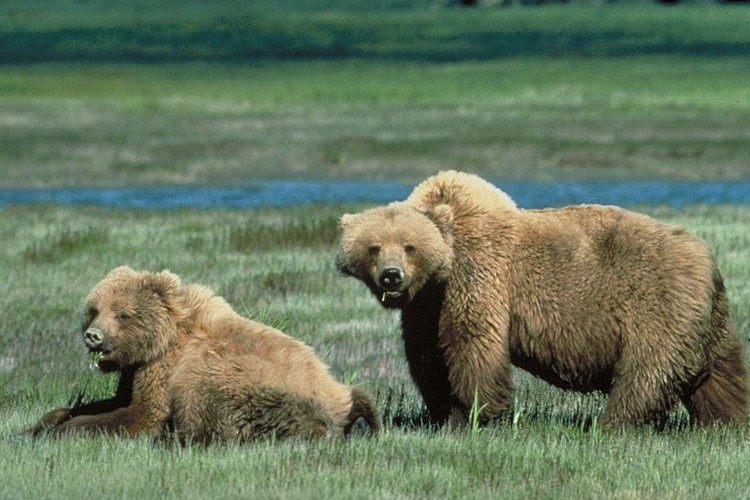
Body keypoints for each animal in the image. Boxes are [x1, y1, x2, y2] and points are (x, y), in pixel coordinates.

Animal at [27, 266, 382, 442]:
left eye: (122, 313)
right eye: (94, 309)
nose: (93, 335)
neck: (163, 339)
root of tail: (343, 396)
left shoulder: (166, 368)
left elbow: (142, 413)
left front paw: (66, 430)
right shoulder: (137, 369)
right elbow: (114, 400)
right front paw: (43, 423)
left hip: (251, 382)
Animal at [338, 170, 748, 428]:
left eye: (410, 246)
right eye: (374, 247)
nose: (392, 275)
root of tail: (707, 258)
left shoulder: (479, 277)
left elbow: (473, 346)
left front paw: (471, 416)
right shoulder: (425, 305)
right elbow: (427, 356)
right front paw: (441, 412)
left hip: (656, 303)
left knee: (646, 372)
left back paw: (613, 425)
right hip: (706, 318)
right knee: (719, 373)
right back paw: (727, 422)